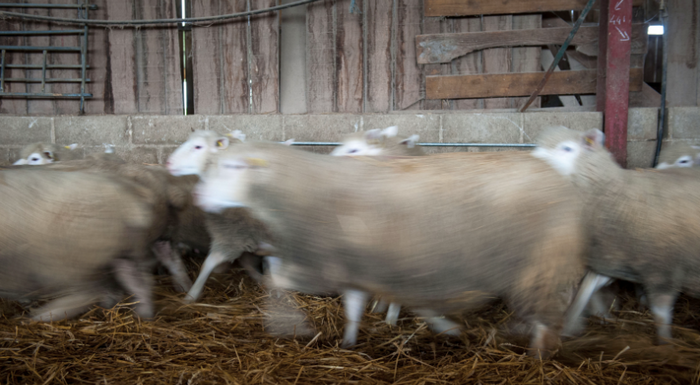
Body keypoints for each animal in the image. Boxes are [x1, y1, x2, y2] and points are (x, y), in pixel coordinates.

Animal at [0, 167, 156, 318]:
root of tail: (129, 194)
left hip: (72, 260)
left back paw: (44, 314)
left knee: (89, 295)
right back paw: (141, 312)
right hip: (120, 253)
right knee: (136, 279)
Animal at [165, 130, 272, 302]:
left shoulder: (234, 236)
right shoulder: (234, 235)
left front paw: (191, 296)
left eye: (198, 146)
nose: (168, 163)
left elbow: (210, 262)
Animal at [191, 140, 584, 356]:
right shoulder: (356, 267)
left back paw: (537, 356)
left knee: (546, 318)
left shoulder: (347, 266)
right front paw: (349, 342)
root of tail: (558, 179)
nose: (198, 196)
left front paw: (287, 322)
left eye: (234, 166)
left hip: (542, 263)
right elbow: (353, 308)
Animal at [532, 125, 700, 342]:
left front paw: (666, 344)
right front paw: (571, 326)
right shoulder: (611, 258)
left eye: (567, 148)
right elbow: (586, 291)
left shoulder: (663, 269)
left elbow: (662, 315)